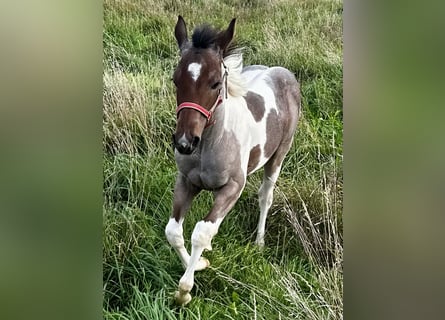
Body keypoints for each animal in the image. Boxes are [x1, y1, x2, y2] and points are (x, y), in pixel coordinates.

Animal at [164, 15, 302, 304]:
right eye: (175, 80)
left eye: (216, 82)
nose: (184, 143)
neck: (208, 145)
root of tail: (282, 71)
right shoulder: (186, 181)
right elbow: (174, 231)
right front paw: (200, 263)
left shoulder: (232, 187)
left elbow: (201, 231)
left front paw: (184, 291)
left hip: (279, 155)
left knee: (266, 196)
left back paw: (259, 242)